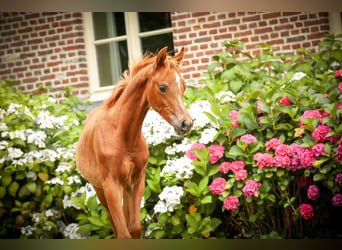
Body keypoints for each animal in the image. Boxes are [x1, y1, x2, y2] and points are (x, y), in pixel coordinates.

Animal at [76, 46, 192, 238]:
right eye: (162, 87)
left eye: (184, 87)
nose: (186, 123)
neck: (123, 136)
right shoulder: (111, 186)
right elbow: (123, 234)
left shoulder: (137, 181)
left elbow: (135, 229)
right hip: (100, 190)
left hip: (125, 188)